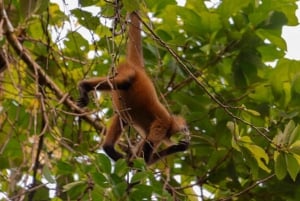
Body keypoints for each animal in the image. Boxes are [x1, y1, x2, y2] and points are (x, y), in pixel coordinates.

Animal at [77, 11, 190, 165]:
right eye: (186, 129)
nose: (188, 135)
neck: (171, 123)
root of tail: (139, 68)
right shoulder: (163, 123)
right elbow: (147, 149)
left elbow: (140, 160)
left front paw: (179, 147)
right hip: (127, 71)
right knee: (125, 82)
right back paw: (84, 86)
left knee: (122, 118)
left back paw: (108, 148)